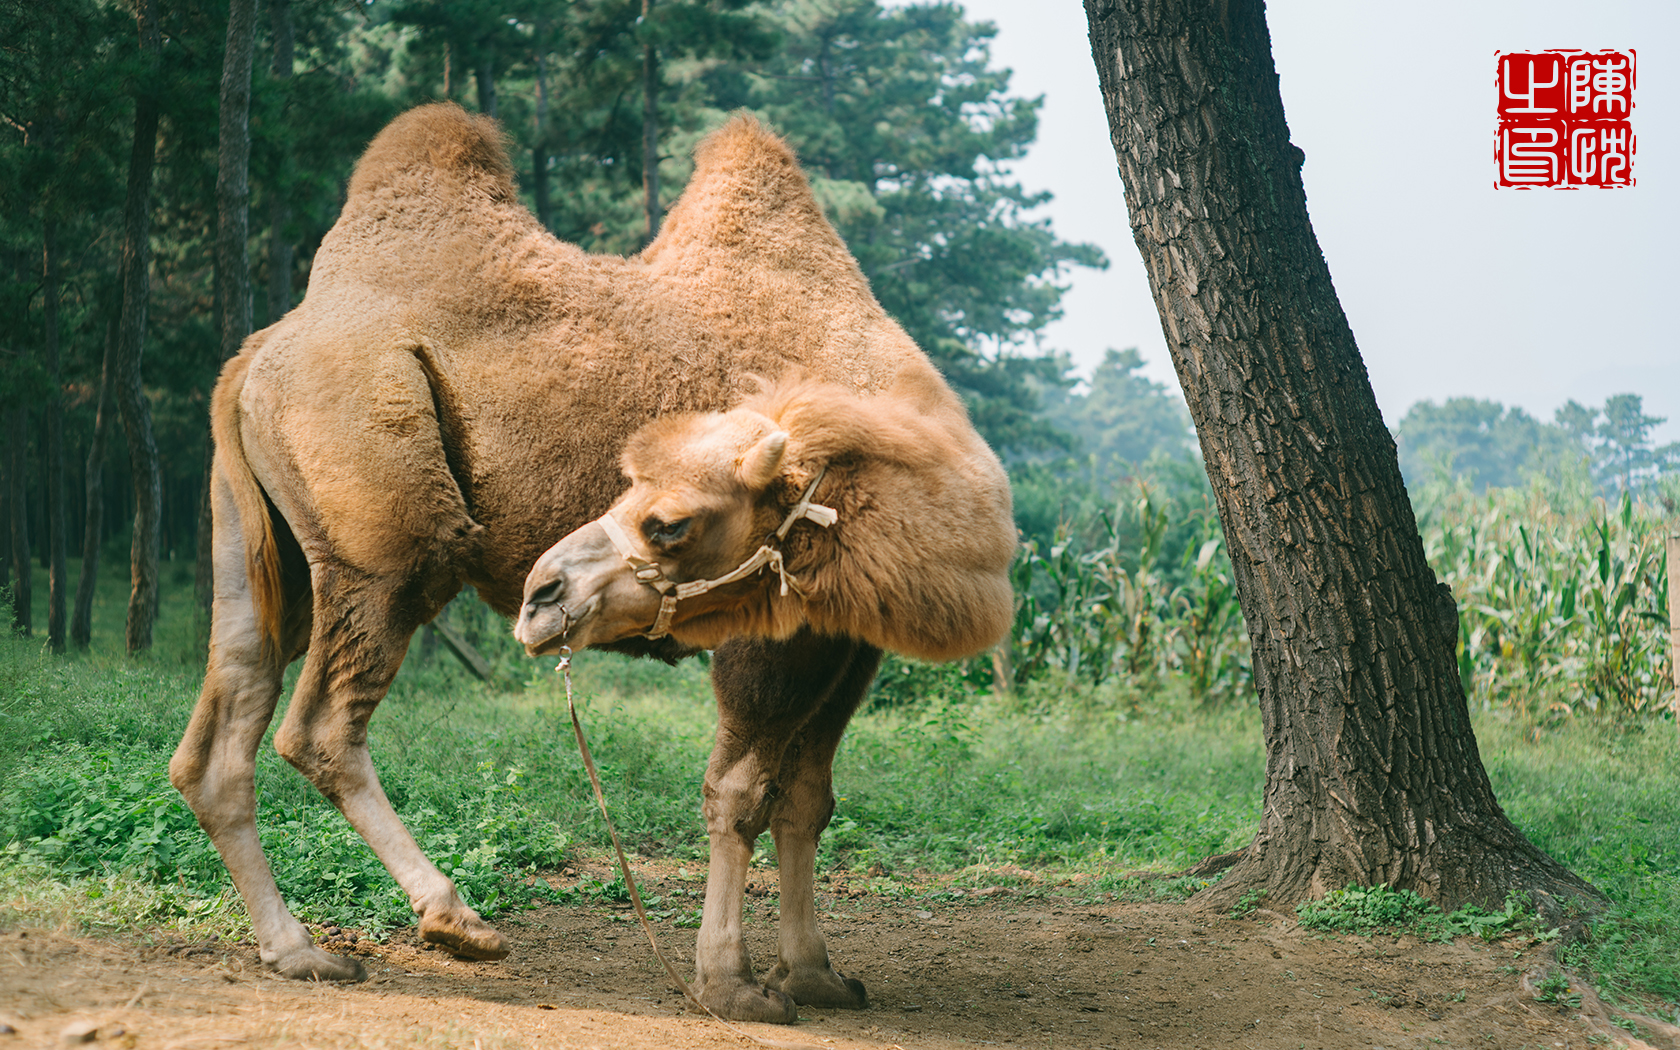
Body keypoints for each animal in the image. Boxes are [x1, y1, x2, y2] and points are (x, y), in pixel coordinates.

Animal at [173, 104, 1007, 1021]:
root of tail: (255, 357)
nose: (545, 591)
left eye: (667, 521)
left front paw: (817, 974)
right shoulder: (773, 623)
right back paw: (458, 920)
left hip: (256, 545)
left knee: (222, 726)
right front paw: (733, 985)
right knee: (321, 725)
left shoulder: (846, 642)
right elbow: (740, 794)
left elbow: (808, 800)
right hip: (384, 544)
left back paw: (297, 951)